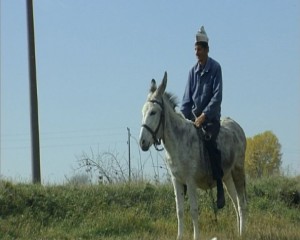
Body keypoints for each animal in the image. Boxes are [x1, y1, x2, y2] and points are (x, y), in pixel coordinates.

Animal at [139, 72, 247, 239]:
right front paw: (179, 236)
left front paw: (196, 236)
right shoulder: (176, 181)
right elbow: (180, 212)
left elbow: (194, 211)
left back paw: (242, 232)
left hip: (238, 171)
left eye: (153, 112)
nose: (142, 142)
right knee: (235, 202)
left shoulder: (190, 182)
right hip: (227, 177)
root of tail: (237, 127)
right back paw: (237, 232)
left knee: (241, 203)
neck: (178, 142)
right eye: (143, 112)